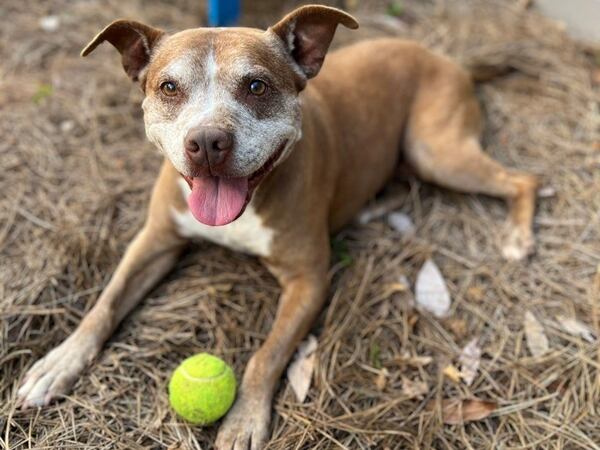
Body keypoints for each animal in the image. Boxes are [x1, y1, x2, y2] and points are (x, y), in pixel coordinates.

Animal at [16, 4, 536, 450]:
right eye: (168, 87)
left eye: (256, 86)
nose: (208, 142)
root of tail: (447, 58)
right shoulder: (155, 240)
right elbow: (105, 303)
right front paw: (58, 362)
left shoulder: (308, 280)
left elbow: (265, 355)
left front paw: (244, 419)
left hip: (436, 150)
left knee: (523, 179)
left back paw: (516, 237)